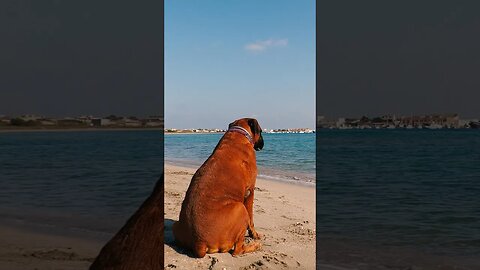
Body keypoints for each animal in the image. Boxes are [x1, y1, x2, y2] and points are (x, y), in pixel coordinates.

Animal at [172, 117, 262, 258]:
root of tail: (199, 243)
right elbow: (251, 218)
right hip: (240, 209)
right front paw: (254, 234)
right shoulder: (250, 191)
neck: (239, 133)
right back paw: (254, 246)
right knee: (237, 251)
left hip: (175, 226)